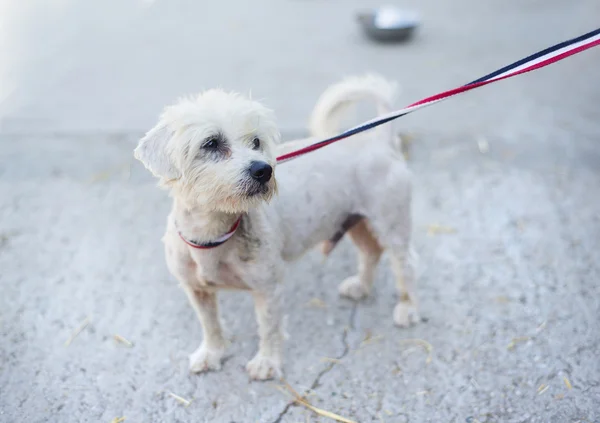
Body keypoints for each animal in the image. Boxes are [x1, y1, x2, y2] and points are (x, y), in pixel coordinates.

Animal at [135, 73, 418, 380]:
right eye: (210, 143)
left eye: (256, 141)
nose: (263, 170)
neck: (215, 231)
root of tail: (380, 140)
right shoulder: (197, 291)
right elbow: (210, 326)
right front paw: (212, 354)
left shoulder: (268, 288)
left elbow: (268, 328)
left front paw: (267, 362)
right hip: (356, 222)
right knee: (370, 253)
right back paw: (361, 287)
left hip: (391, 224)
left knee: (405, 265)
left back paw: (407, 308)